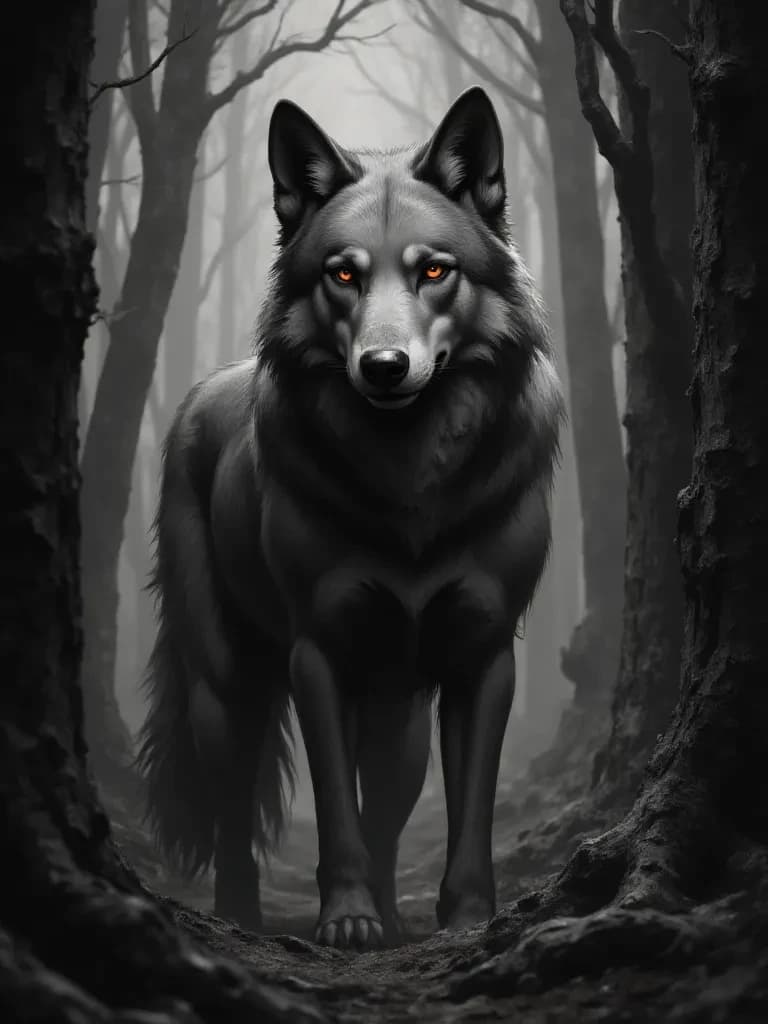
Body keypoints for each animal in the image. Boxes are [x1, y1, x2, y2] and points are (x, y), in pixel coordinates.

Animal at [137, 86, 563, 949]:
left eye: (434, 270)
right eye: (343, 274)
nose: (385, 367)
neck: (410, 486)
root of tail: (199, 395)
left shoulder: (483, 655)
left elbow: (463, 808)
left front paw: (465, 919)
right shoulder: (318, 653)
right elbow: (335, 806)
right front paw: (349, 918)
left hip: (398, 713)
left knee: (388, 804)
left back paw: (397, 918)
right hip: (227, 684)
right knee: (235, 805)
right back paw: (240, 915)